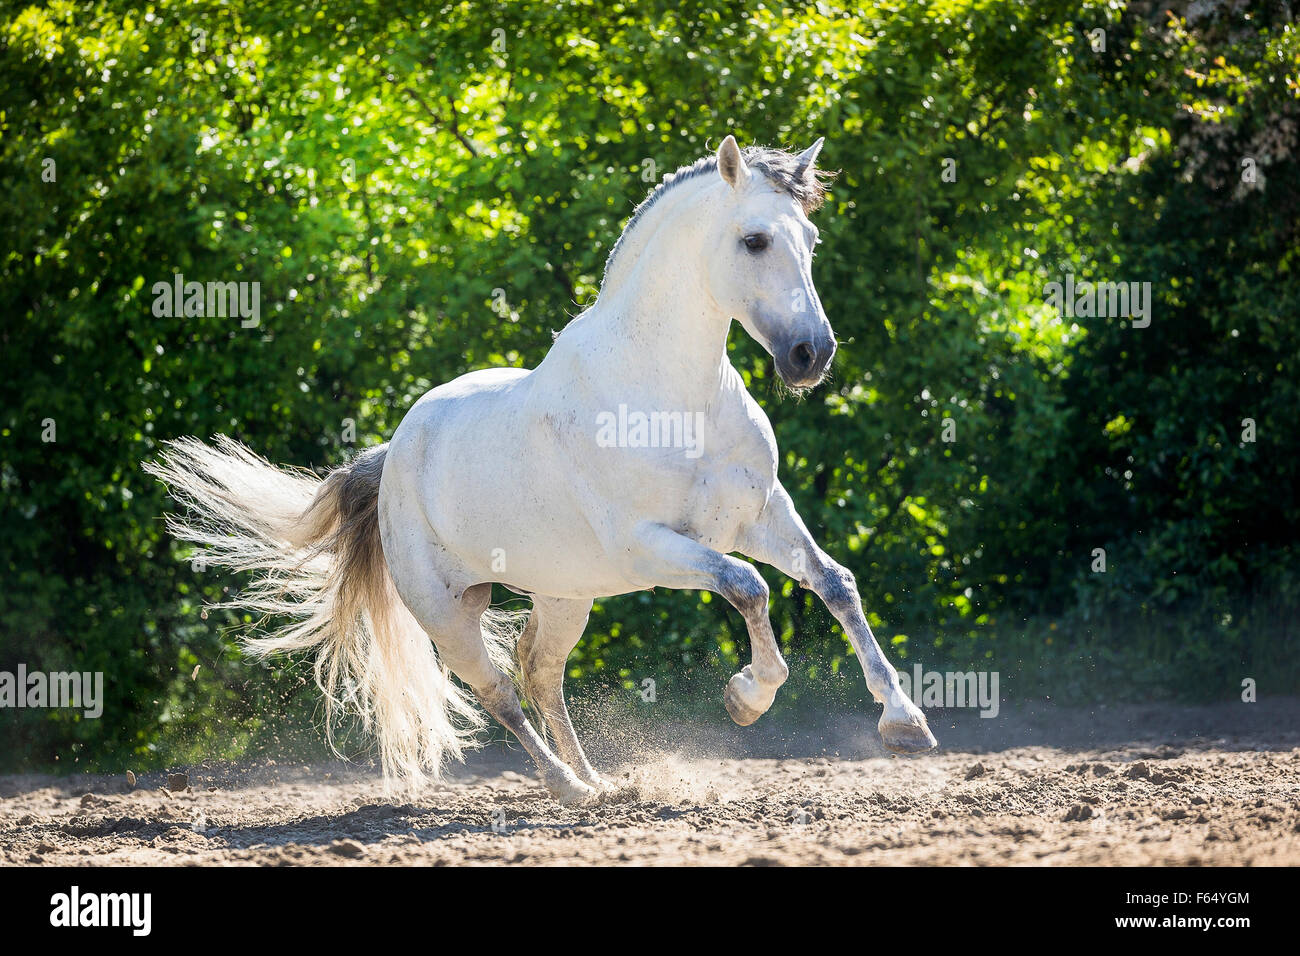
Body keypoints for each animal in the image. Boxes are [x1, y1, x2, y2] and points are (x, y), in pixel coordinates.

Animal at [145, 134, 937, 804]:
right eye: (754, 239)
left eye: (811, 240)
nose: (812, 355)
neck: (671, 396)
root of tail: (394, 454)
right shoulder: (650, 546)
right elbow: (748, 587)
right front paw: (749, 696)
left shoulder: (760, 514)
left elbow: (834, 582)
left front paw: (904, 722)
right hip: (449, 615)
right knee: (500, 690)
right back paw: (567, 787)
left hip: (567, 593)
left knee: (541, 670)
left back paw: (598, 781)